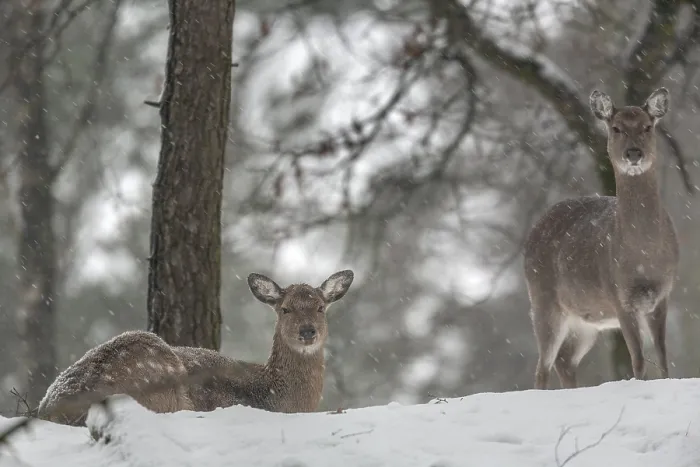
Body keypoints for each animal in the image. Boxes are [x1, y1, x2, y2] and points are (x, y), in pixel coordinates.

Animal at [37, 270, 354, 425]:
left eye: (320, 307)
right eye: (285, 309)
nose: (307, 331)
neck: (277, 395)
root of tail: (49, 410)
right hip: (157, 378)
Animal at [523, 87, 679, 390]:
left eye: (647, 126)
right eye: (616, 128)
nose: (634, 153)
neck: (644, 256)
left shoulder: (662, 294)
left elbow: (664, 359)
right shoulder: (619, 296)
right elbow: (638, 361)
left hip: (585, 320)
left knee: (564, 360)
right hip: (543, 298)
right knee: (542, 366)